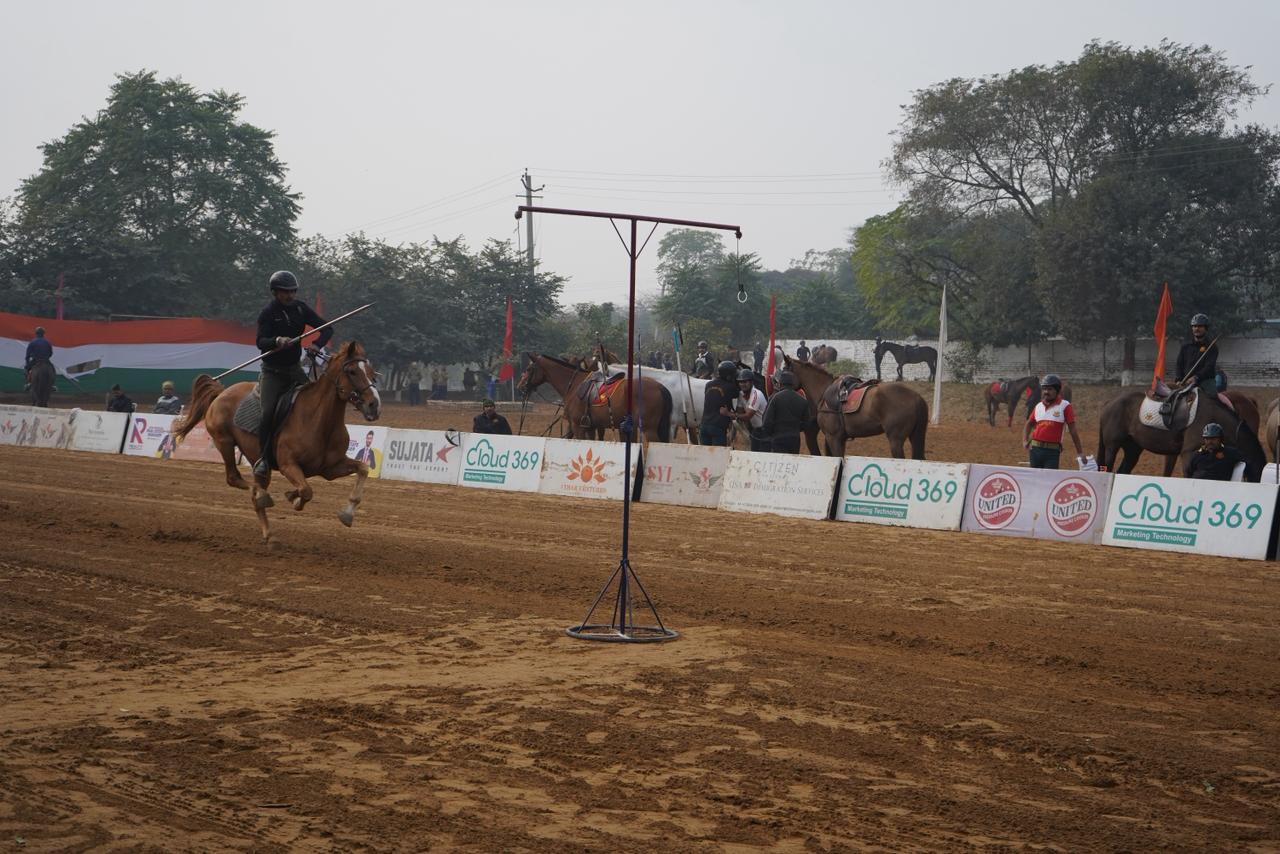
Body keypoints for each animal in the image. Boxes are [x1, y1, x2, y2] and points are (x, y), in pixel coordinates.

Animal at [172, 341, 382, 545]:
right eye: (352, 371)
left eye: (371, 372)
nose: (374, 405)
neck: (318, 420)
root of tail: (221, 392)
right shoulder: (288, 465)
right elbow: (306, 490)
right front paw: (294, 498)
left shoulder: (330, 468)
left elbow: (363, 469)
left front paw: (346, 514)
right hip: (224, 442)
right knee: (235, 479)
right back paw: (263, 499)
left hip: (257, 462)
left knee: (254, 491)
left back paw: (269, 534)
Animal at [517, 353, 673, 443]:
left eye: (529, 369)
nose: (521, 387)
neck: (574, 384)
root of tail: (660, 387)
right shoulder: (591, 426)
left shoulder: (578, 426)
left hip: (649, 429)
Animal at [784, 355, 929, 459]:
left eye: (783, 371)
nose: (779, 386)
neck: (824, 391)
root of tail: (916, 397)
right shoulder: (840, 438)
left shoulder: (833, 437)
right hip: (915, 436)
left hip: (896, 439)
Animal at [1096, 388, 1267, 481]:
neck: (1212, 416)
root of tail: (1110, 403)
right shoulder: (1188, 454)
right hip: (1112, 446)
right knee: (1107, 467)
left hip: (1133, 449)